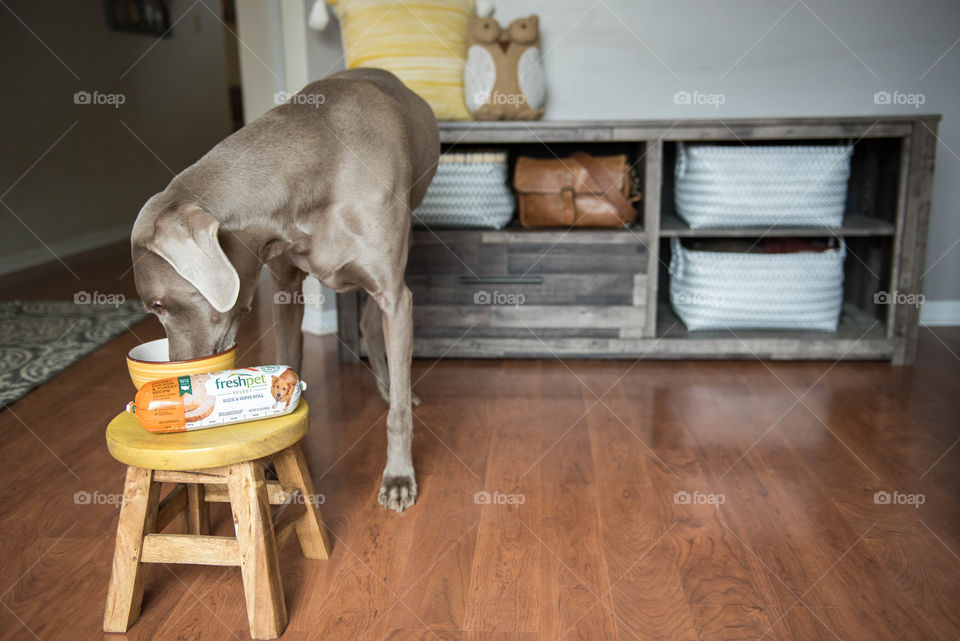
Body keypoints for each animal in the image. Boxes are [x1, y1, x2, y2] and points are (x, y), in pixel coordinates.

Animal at [130, 67, 438, 512]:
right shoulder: (286, 289)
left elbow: (397, 413)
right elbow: (290, 355)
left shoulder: (394, 296)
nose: (177, 371)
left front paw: (398, 477)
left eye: (157, 305)